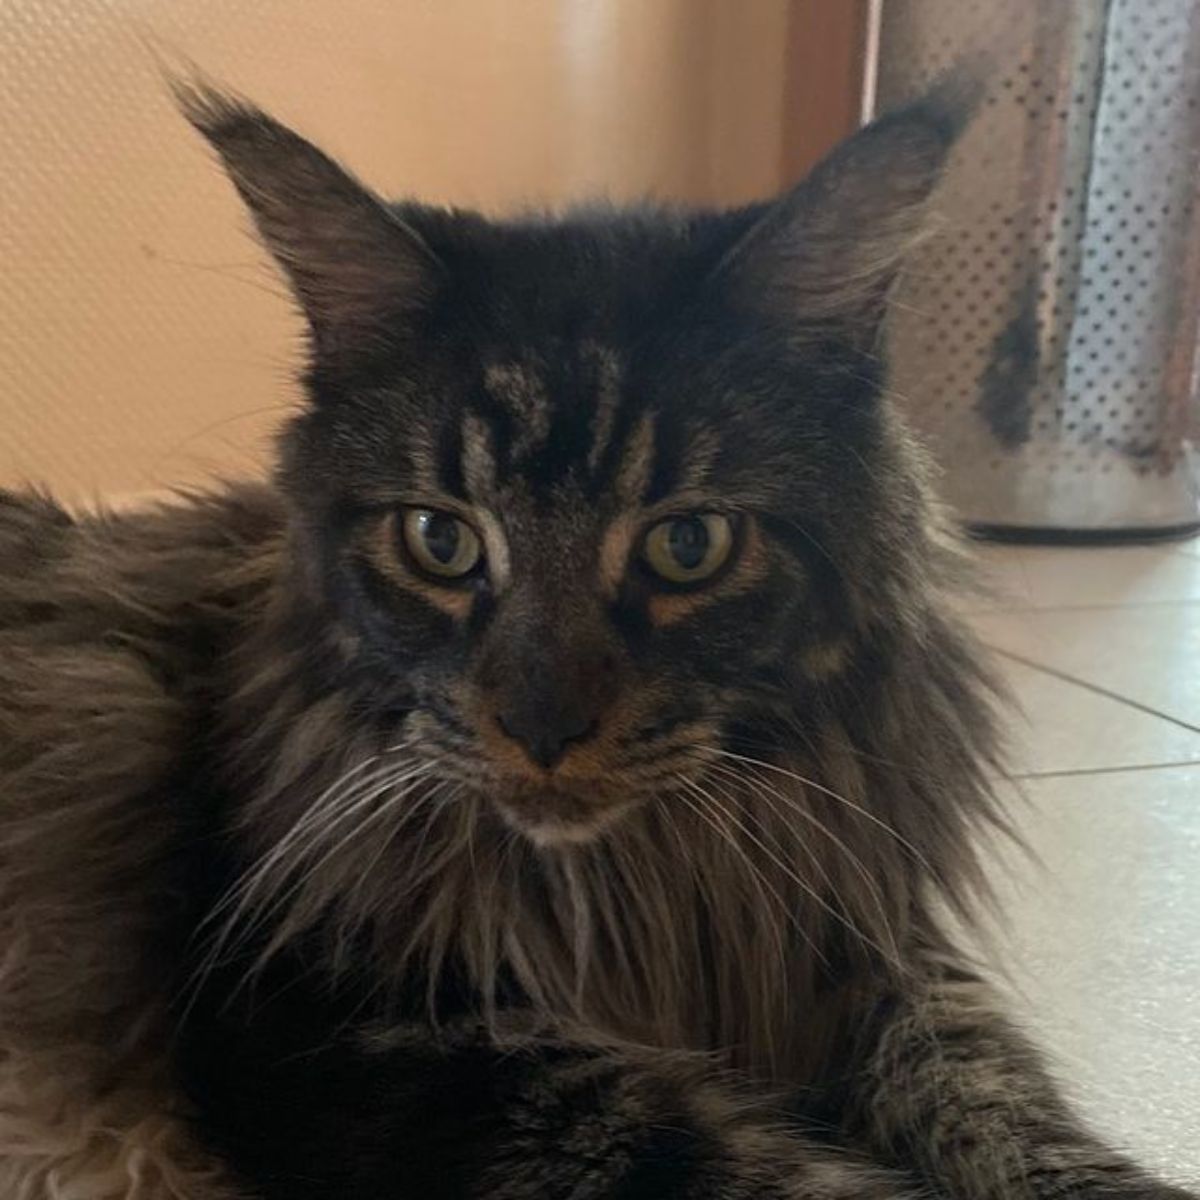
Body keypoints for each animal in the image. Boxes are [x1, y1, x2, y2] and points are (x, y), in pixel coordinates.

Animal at [0, 77, 1190, 1200]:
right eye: (440, 539)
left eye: (689, 545)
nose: (541, 729)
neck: (648, 884)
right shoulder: (333, 1027)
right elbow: (720, 1163)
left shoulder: (861, 948)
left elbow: (1001, 1104)